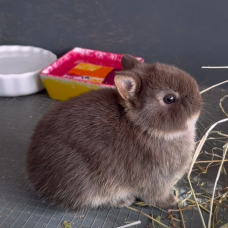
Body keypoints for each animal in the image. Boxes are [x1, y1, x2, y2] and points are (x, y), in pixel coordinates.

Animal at [26, 54, 201, 210]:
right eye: (169, 99)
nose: (198, 105)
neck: (145, 128)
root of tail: (35, 176)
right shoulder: (155, 180)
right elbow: (155, 197)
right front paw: (172, 200)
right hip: (87, 182)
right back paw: (124, 200)